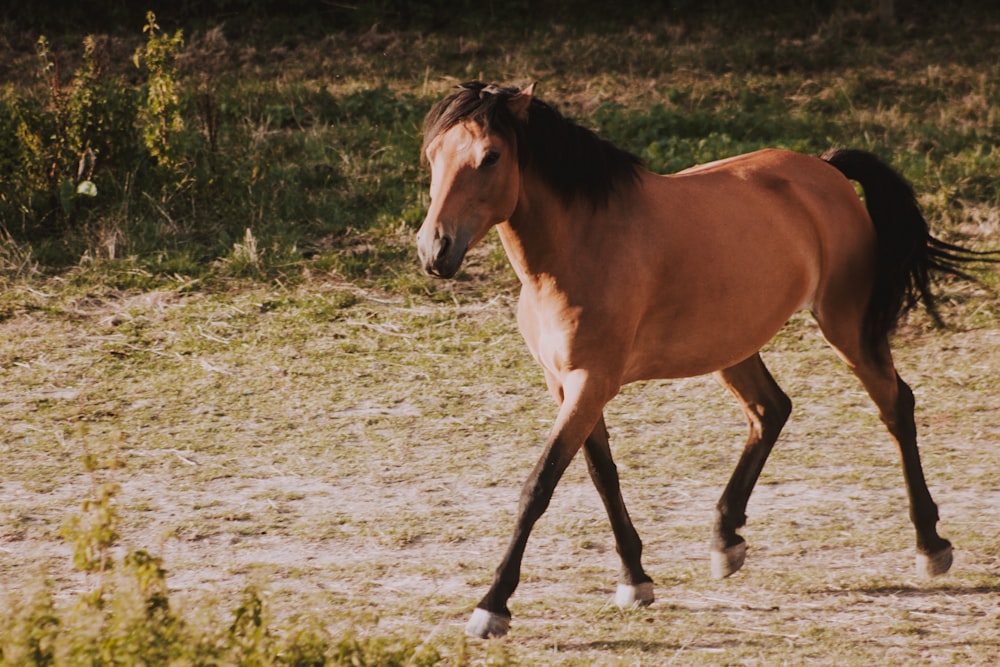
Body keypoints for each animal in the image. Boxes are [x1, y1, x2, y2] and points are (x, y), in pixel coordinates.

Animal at [414, 81, 984, 640]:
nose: (434, 250)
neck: (582, 246)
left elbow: (539, 485)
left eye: (490, 156)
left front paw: (492, 606)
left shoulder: (591, 383)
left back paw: (930, 545)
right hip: (732, 346)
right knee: (770, 410)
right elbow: (602, 476)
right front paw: (635, 580)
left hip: (846, 328)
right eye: (432, 155)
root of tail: (824, 169)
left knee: (895, 408)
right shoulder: (566, 385)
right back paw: (726, 539)